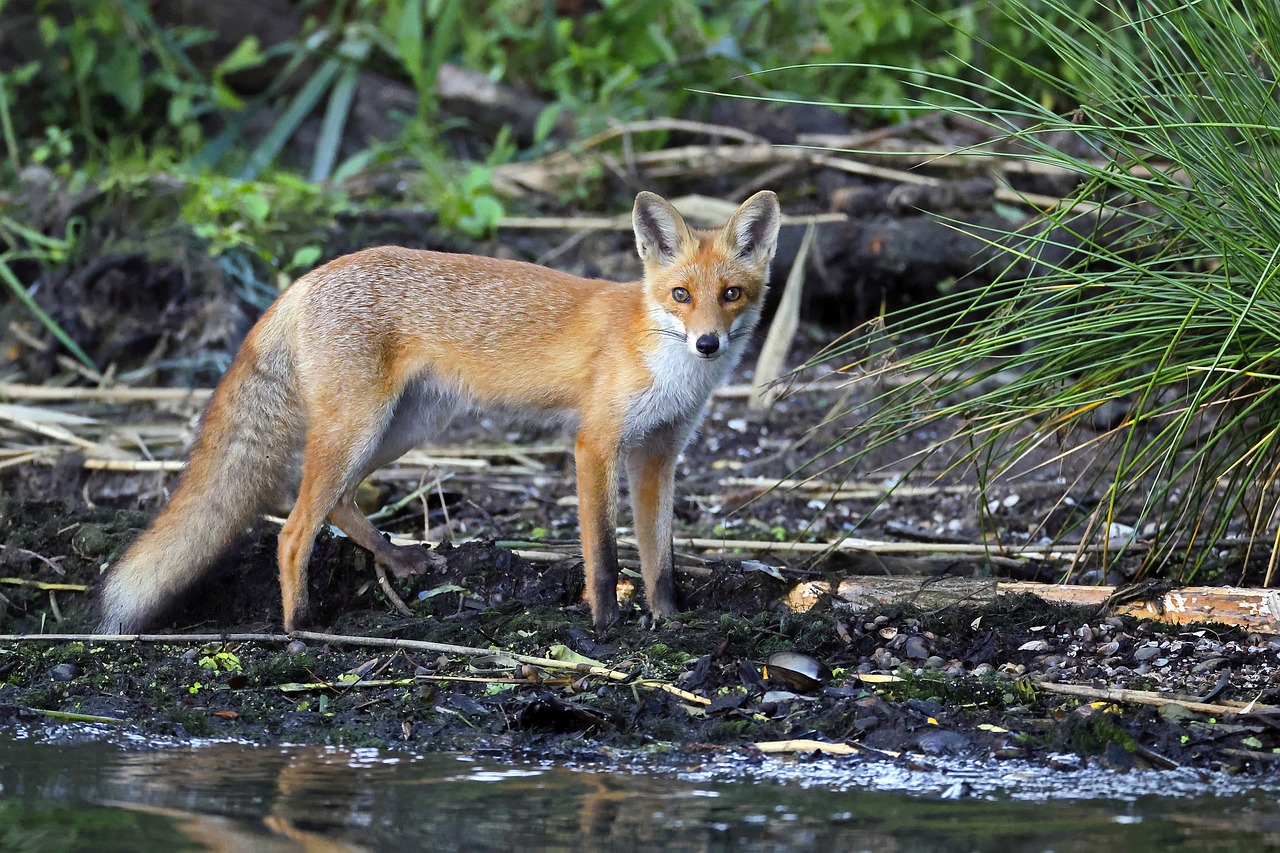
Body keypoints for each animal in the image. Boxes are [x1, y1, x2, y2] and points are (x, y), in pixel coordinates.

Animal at [95, 189, 781, 635]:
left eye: (731, 295)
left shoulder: (658, 455)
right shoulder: (596, 445)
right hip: (360, 428)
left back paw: (395, 561)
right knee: (293, 529)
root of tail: (308, 277)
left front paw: (668, 620)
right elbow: (605, 554)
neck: (666, 363)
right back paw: (301, 630)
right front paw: (607, 624)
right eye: (680, 295)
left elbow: (660, 556)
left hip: (400, 430)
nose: (708, 343)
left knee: (335, 502)